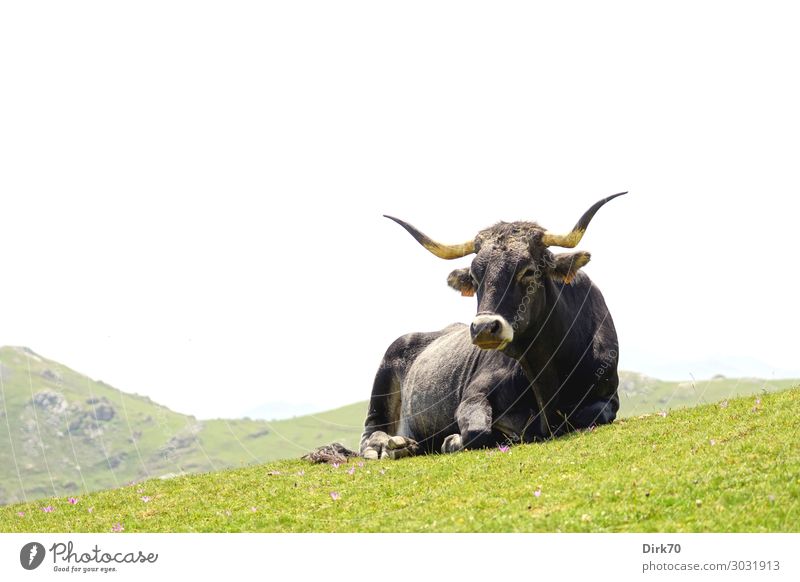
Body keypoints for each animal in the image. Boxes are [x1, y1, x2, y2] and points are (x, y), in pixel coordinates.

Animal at [360, 195, 628, 460]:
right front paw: (452, 441)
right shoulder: (474, 393)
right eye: (474, 276)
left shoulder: (607, 398)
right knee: (370, 433)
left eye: (529, 271)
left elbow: (588, 416)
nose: (484, 327)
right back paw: (389, 446)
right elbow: (477, 430)